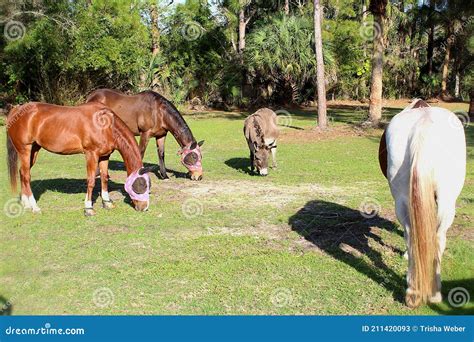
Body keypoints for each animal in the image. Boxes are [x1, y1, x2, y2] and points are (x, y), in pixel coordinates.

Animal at [6, 100, 157, 215]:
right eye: (141, 185)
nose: (144, 207)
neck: (105, 124)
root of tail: (16, 110)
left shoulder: (104, 156)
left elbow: (104, 178)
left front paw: (107, 202)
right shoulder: (91, 154)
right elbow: (91, 181)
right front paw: (88, 208)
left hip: (34, 150)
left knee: (22, 173)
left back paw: (26, 204)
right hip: (25, 150)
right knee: (26, 175)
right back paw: (34, 207)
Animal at [378, 98, 466, 308]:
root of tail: (423, 124)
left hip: (408, 199)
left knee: (416, 235)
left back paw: (416, 292)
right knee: (434, 235)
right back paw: (429, 293)